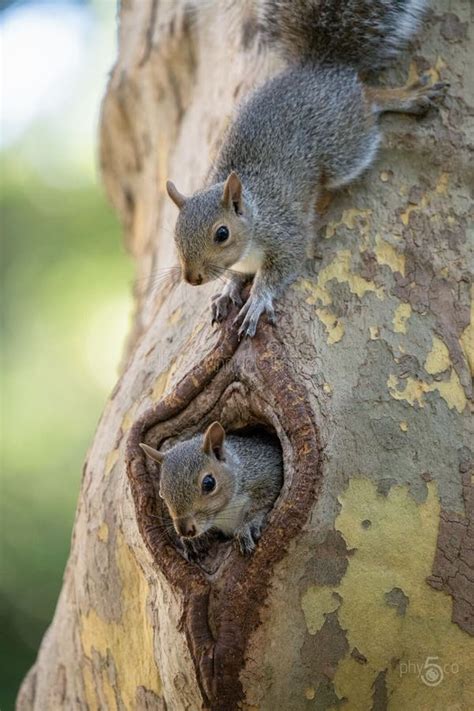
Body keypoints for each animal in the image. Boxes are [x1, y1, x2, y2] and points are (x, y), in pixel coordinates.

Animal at [140, 422, 282, 556]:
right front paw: (195, 540)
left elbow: (262, 503)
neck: (225, 511)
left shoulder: (267, 471)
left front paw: (248, 524)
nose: (185, 530)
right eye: (161, 493)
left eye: (209, 483)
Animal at [165, 0, 446, 340]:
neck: (255, 215)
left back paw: (406, 97)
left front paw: (257, 300)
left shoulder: (287, 233)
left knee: (368, 100)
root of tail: (320, 67)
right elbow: (234, 276)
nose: (191, 278)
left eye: (222, 233)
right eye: (176, 235)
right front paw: (226, 290)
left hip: (345, 145)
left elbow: (283, 267)